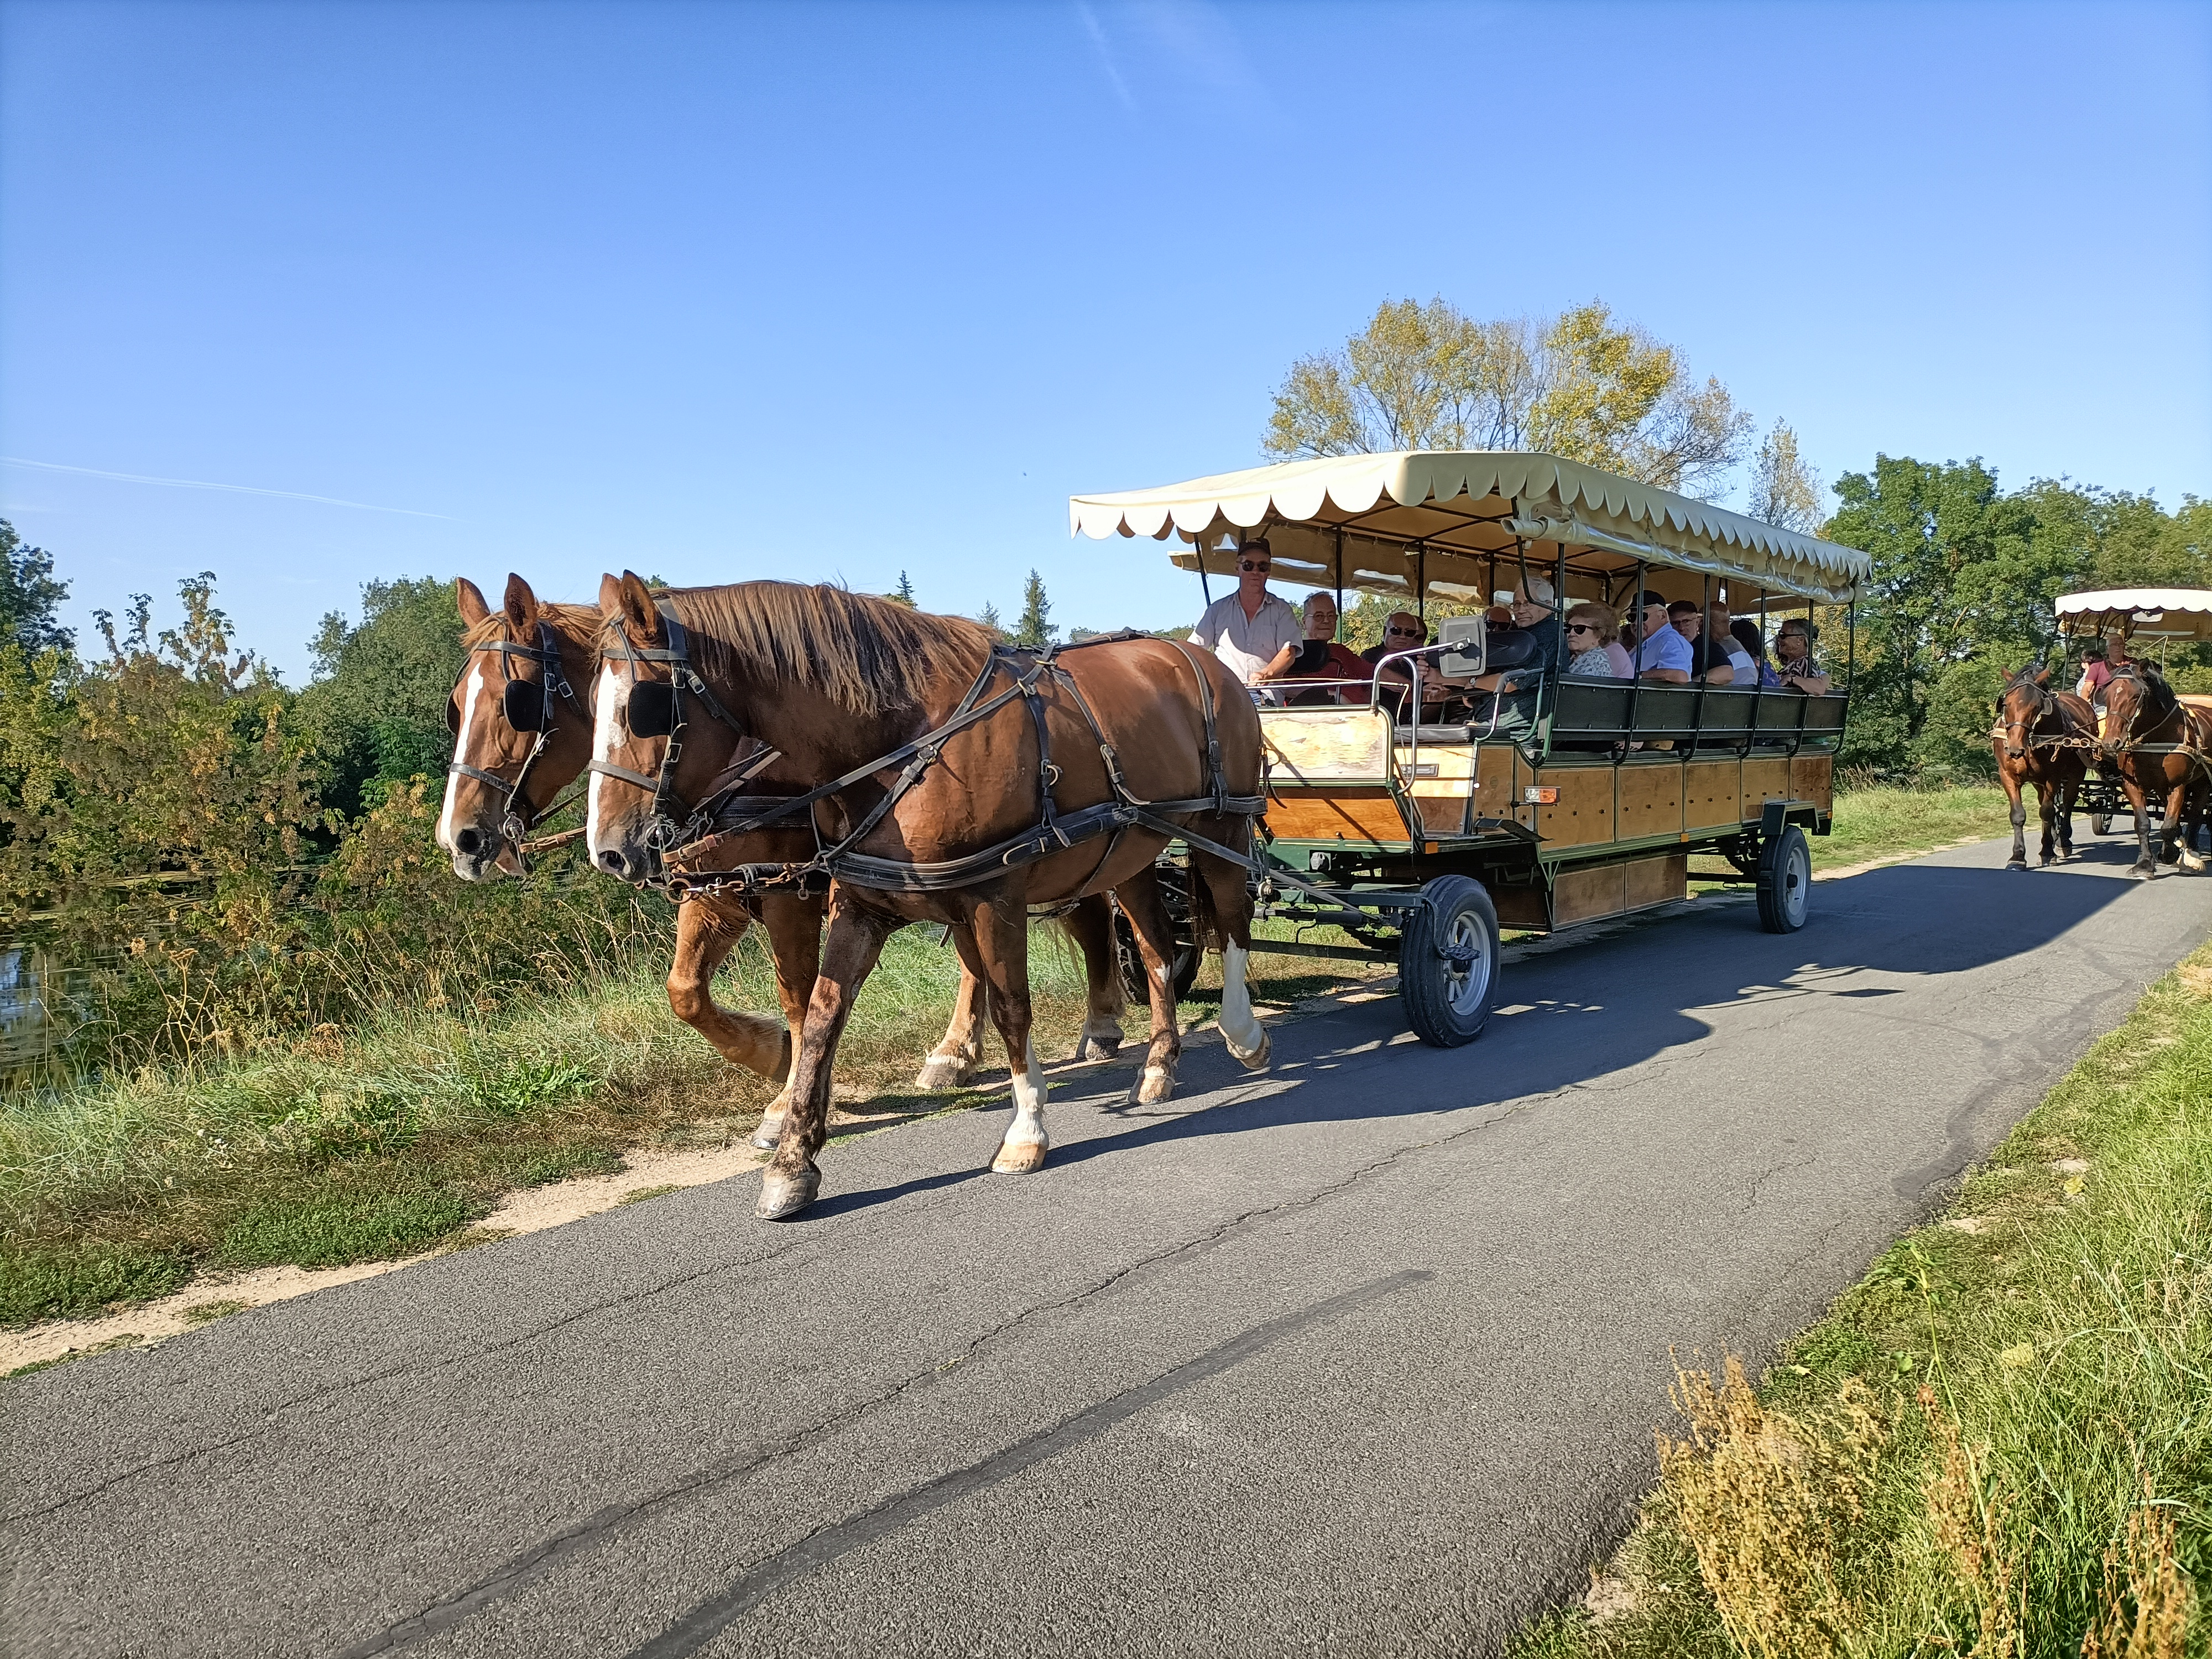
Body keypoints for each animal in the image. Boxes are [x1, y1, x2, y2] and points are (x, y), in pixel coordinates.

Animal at [434, 580, 1133, 1141]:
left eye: (516, 701)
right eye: (457, 705)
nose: (459, 839)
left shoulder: (785, 894)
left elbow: (797, 997)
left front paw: (782, 1084)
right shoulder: (717, 893)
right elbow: (685, 993)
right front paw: (771, 1056)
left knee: (1087, 911)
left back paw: (1098, 1022)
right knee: (985, 950)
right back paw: (958, 1050)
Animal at [588, 575, 1274, 1221]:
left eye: (642, 708)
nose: (608, 851)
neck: (902, 741)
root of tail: (1197, 656)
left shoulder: (991, 894)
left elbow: (1011, 1008)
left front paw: (1026, 1130)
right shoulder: (857, 902)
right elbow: (820, 1016)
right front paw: (793, 1160)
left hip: (1220, 829)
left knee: (1233, 924)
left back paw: (1242, 1034)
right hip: (1131, 848)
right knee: (1155, 947)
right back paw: (1157, 1064)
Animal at [1991, 668, 2088, 872]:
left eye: (2037, 707)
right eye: (2006, 704)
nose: (2014, 748)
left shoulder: (2053, 777)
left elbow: (2047, 812)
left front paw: (2047, 853)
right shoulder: (2008, 776)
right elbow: (2018, 815)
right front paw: (2018, 857)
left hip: (2076, 774)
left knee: (2067, 805)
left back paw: (2062, 841)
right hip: (2039, 782)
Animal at [2097, 659, 2203, 876]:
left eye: (2135, 696)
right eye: (2107, 694)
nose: (2111, 743)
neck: (2154, 738)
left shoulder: (2178, 785)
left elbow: (2169, 826)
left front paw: (2170, 855)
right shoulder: (2132, 784)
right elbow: (2143, 823)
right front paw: (2145, 863)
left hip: (2202, 782)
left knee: (2196, 815)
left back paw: (2192, 853)